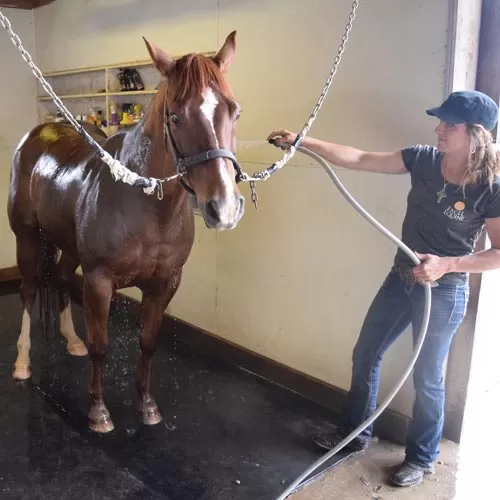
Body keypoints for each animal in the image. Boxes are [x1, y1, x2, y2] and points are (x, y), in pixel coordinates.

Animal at [5, 31, 244, 432]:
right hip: (27, 240)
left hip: (67, 248)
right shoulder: (99, 282)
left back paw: (72, 340)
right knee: (29, 290)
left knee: (62, 278)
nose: (224, 207)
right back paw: (22, 364)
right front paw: (99, 413)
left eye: (235, 110)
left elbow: (147, 343)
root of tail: (36, 135)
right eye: (176, 116)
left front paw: (147, 406)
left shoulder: (165, 283)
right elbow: (101, 345)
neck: (145, 205)